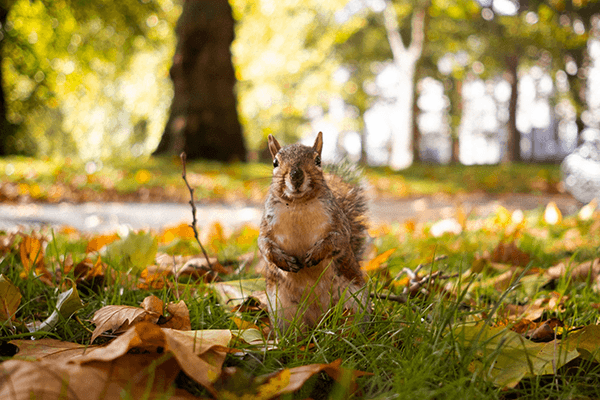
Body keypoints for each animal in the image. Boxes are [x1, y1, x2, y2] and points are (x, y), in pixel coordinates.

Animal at [258, 132, 370, 334]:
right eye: (275, 163)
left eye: (318, 160)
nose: (296, 176)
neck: (297, 204)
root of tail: (318, 322)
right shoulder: (266, 226)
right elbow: (264, 246)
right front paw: (284, 261)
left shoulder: (339, 223)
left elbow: (337, 240)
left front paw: (316, 254)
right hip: (282, 309)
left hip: (354, 301)